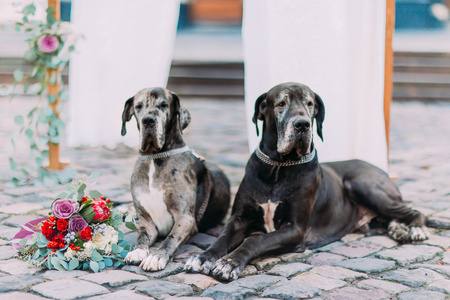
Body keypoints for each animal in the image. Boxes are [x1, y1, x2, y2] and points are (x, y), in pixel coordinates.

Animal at [121, 87, 230, 272]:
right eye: (138, 106)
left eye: (164, 105)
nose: (148, 121)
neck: (155, 157)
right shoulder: (146, 220)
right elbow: (141, 237)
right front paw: (137, 251)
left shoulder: (185, 218)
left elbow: (170, 239)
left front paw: (156, 256)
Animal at [185, 81, 428, 282]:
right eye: (281, 103)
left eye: (310, 104)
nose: (302, 124)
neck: (277, 168)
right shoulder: (238, 218)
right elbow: (222, 238)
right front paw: (203, 257)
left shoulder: (295, 229)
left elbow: (254, 241)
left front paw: (229, 263)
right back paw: (398, 229)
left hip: (362, 183)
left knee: (414, 212)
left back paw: (414, 230)